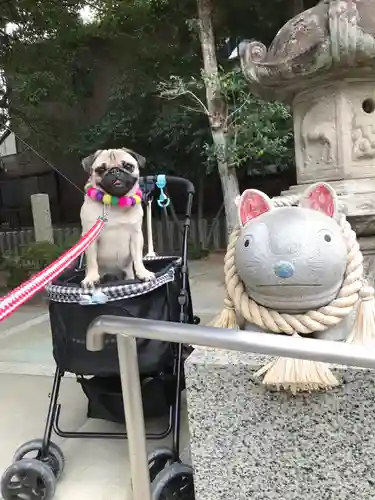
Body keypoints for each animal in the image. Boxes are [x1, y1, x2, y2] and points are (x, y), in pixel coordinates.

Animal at [80, 148, 155, 288]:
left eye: (128, 166)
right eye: (101, 169)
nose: (115, 170)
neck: (116, 203)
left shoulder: (136, 236)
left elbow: (138, 258)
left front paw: (143, 273)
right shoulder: (90, 238)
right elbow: (92, 261)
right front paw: (91, 278)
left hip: (127, 272)